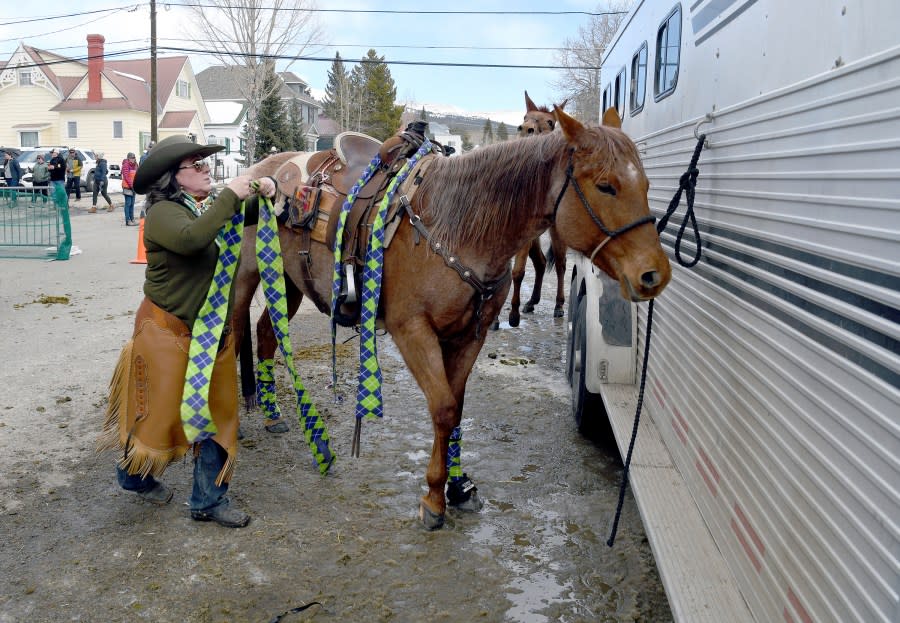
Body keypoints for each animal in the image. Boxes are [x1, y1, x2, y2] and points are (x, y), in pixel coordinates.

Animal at [506, 93, 568, 330]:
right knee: (541, 263)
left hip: (555, 233)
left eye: (550, 122)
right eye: (525, 116)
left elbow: (517, 272)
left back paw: (558, 305)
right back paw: (532, 301)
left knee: (560, 265)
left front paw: (513, 314)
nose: (526, 129)